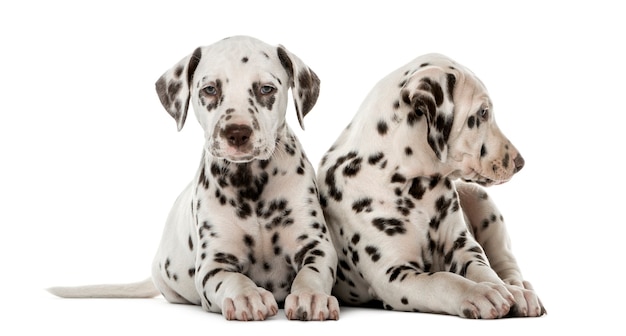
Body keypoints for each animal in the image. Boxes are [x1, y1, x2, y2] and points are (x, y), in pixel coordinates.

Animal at [47, 35, 342, 322]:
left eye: (266, 89)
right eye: (210, 89)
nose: (237, 133)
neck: (251, 185)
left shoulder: (316, 245)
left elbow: (312, 273)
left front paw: (310, 296)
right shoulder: (213, 263)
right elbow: (232, 279)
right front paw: (247, 296)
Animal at [314, 53, 544, 318]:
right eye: (483, 112)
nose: (520, 163)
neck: (413, 186)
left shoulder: (462, 246)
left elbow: (484, 270)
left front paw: (503, 289)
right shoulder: (392, 273)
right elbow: (442, 280)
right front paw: (478, 293)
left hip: (484, 203)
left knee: (506, 263)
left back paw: (520, 288)